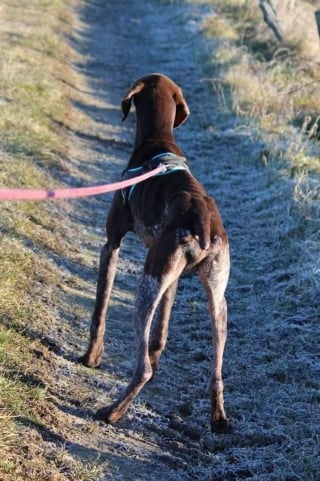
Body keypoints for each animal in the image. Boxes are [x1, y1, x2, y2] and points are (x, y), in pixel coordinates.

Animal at [80, 74, 230, 432]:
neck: (159, 142)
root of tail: (202, 218)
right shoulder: (171, 278)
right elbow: (159, 336)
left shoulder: (111, 245)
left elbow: (99, 312)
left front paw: (92, 357)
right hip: (215, 298)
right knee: (215, 372)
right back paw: (218, 417)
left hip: (145, 288)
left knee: (142, 368)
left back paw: (112, 412)